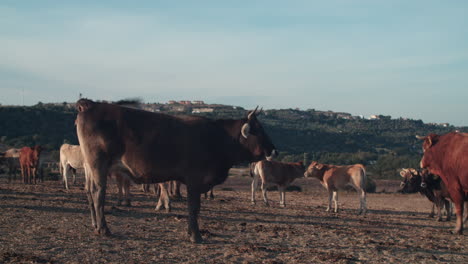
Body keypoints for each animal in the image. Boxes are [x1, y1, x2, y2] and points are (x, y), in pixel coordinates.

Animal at [75, 99, 276, 243]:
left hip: (91, 168)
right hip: (98, 165)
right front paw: (195, 235)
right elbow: (193, 207)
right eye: (258, 130)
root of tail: (91, 105)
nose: (274, 150)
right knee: (98, 193)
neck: (218, 137)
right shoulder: (194, 181)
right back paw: (104, 229)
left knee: (90, 192)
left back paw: (96, 226)